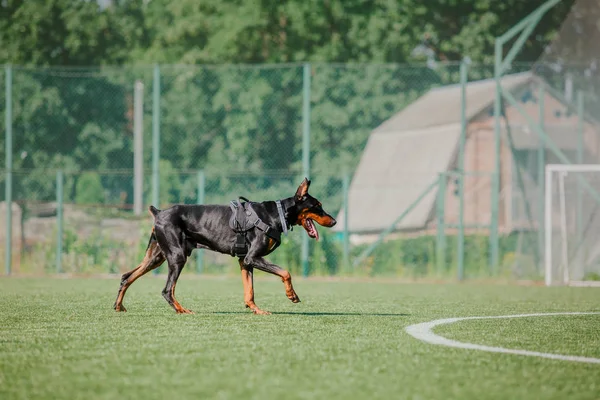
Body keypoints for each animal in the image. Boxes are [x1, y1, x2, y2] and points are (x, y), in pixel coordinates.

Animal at [113, 179, 338, 316]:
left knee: (126, 276)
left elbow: (249, 292)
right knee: (167, 290)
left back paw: (119, 305)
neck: (276, 214)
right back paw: (182, 310)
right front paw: (292, 295)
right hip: (177, 256)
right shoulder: (253, 257)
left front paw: (256, 310)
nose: (335, 221)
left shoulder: (245, 261)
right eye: (317, 205)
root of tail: (159, 213)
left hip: (156, 256)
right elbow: (286, 272)